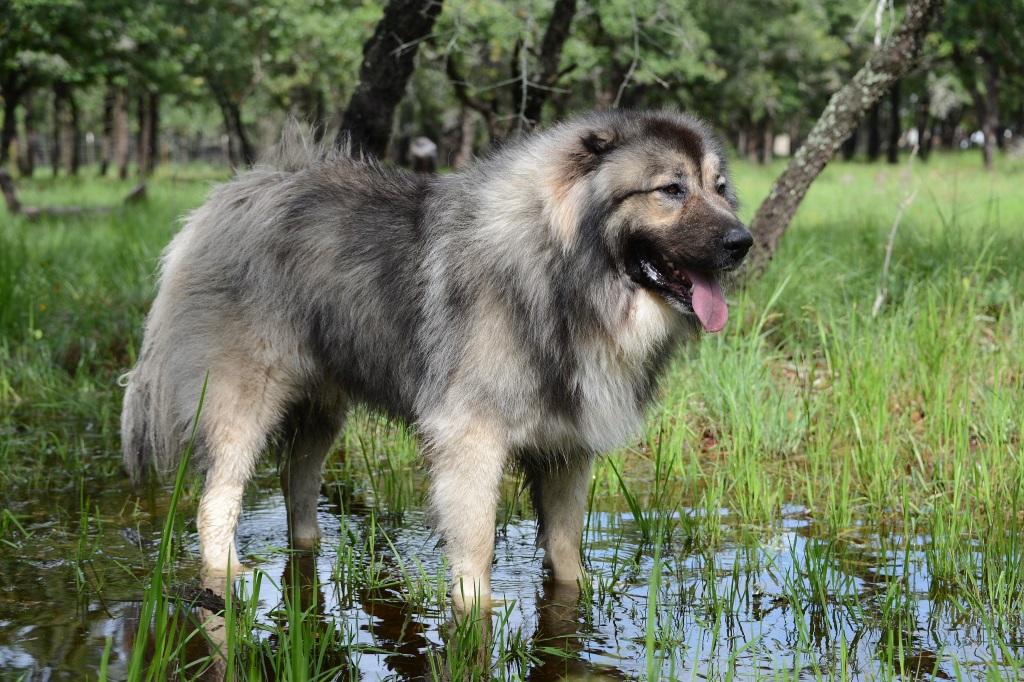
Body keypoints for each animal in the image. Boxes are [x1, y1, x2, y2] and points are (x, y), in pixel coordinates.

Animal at [121, 109, 753, 606]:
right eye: (671, 190)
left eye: (719, 188)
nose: (742, 242)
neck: (561, 275)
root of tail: (222, 202)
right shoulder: (471, 442)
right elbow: (475, 550)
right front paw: (475, 616)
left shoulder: (566, 452)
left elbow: (566, 552)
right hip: (242, 404)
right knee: (216, 503)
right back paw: (228, 577)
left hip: (321, 412)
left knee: (296, 480)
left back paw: (307, 548)